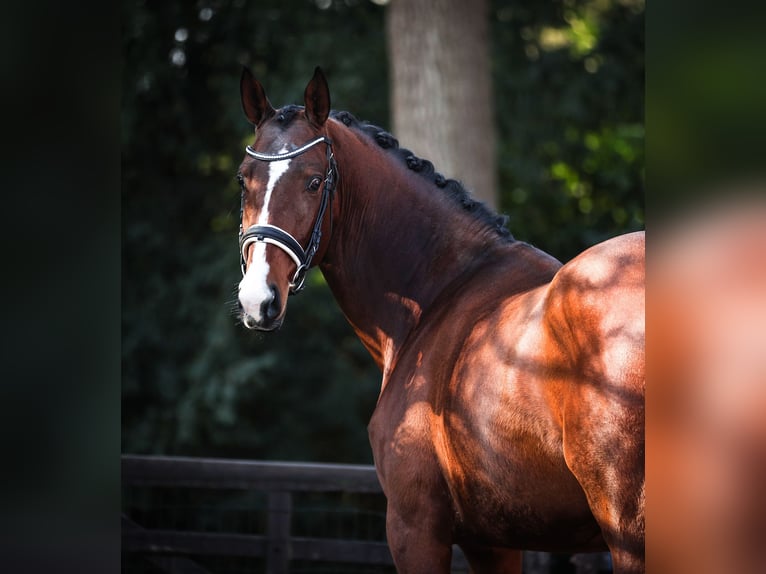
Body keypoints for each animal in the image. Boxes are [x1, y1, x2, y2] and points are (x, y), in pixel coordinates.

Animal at [237, 68, 644, 574]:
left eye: (314, 182)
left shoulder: (415, 527)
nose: (258, 299)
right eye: (243, 180)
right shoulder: (493, 542)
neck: (440, 290)